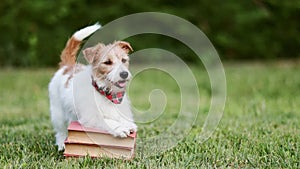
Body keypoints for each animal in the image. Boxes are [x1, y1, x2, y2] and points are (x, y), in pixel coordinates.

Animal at [49, 22, 137, 151]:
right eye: (107, 62)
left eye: (124, 60)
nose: (124, 74)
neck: (107, 93)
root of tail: (67, 66)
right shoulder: (91, 116)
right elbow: (107, 121)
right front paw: (119, 128)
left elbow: (120, 117)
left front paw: (127, 123)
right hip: (58, 113)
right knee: (61, 131)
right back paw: (61, 144)